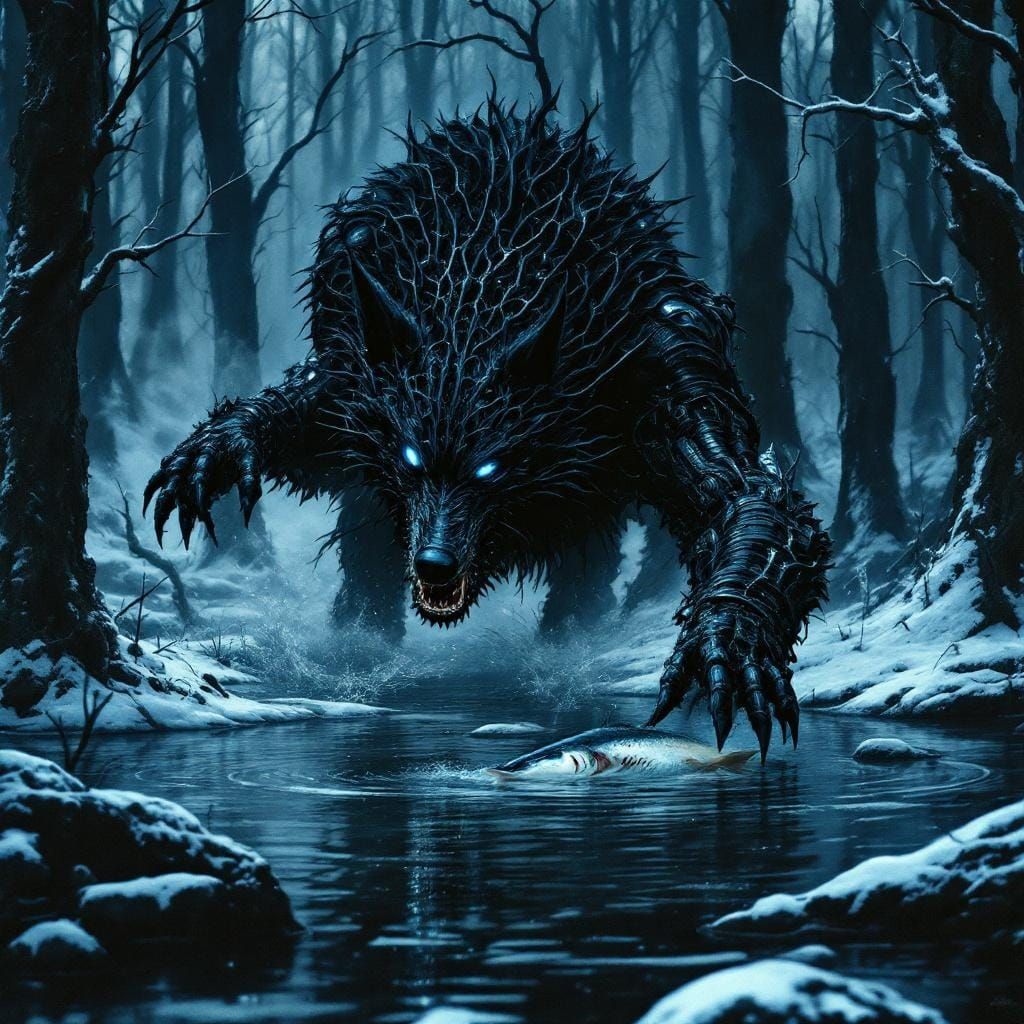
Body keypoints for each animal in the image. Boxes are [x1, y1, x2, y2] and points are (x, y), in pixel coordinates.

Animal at [145, 102, 830, 758]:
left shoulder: (666, 364)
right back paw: (360, 644)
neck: (480, 294)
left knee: (583, 572)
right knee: (367, 548)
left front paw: (727, 638)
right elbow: (301, 420)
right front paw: (215, 451)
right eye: (410, 459)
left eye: (492, 469)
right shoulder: (354, 367)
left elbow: (742, 497)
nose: (434, 564)